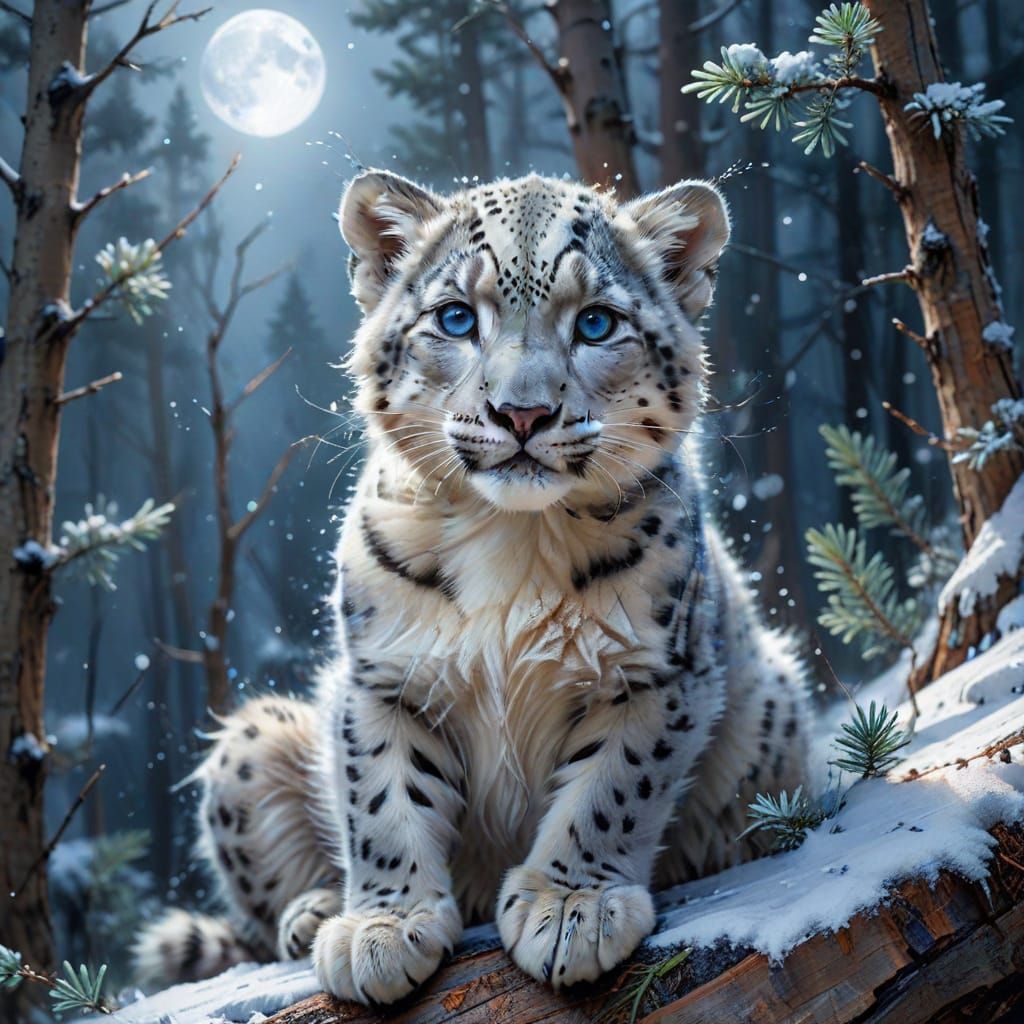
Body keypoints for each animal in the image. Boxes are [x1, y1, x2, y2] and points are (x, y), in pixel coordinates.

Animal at [132, 169, 811, 1006]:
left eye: (596, 323)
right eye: (456, 317)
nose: (522, 411)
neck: (511, 543)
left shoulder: (655, 671)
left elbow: (613, 788)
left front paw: (571, 908)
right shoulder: (383, 676)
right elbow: (378, 798)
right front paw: (382, 927)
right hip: (251, 744)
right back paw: (313, 913)